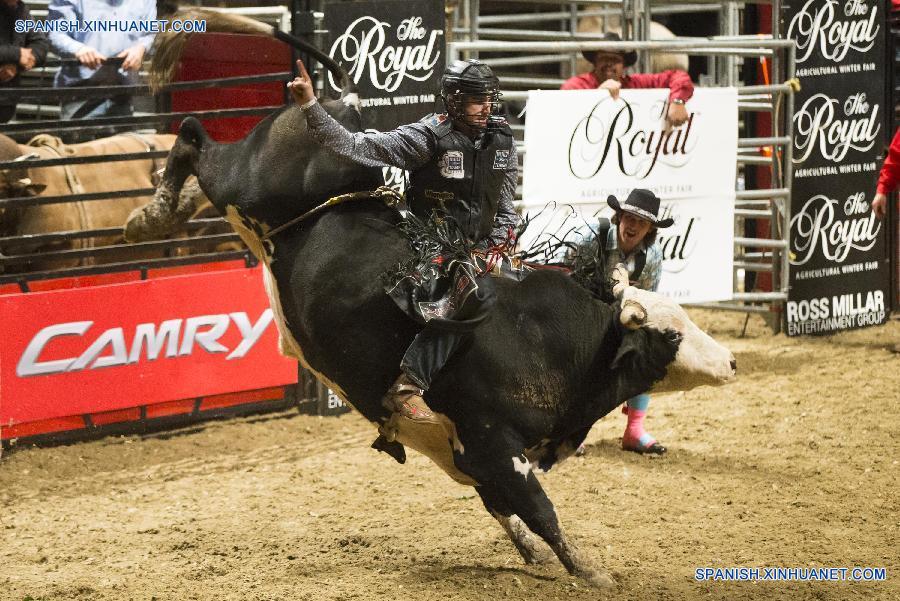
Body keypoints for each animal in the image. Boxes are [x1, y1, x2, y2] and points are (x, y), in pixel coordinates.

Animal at [128, 31, 740, 584]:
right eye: (672, 334)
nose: (732, 362)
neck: (558, 342)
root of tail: (339, 106)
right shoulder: (493, 443)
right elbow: (539, 510)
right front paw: (589, 570)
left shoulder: (472, 458)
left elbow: (505, 511)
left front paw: (537, 558)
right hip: (246, 178)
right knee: (193, 137)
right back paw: (151, 213)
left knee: (199, 152)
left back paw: (165, 208)